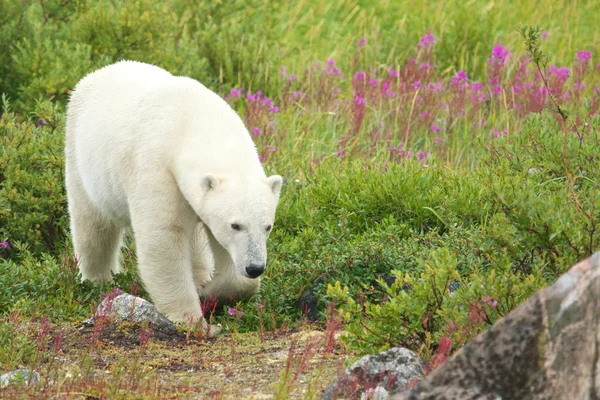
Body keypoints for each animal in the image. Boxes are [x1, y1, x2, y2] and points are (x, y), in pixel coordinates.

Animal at [65, 61, 284, 326]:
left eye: (268, 226)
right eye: (235, 225)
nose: (255, 267)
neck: (197, 123)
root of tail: (98, 72)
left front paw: (211, 292)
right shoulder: (157, 166)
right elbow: (164, 235)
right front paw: (191, 319)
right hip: (82, 158)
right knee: (93, 225)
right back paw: (98, 279)